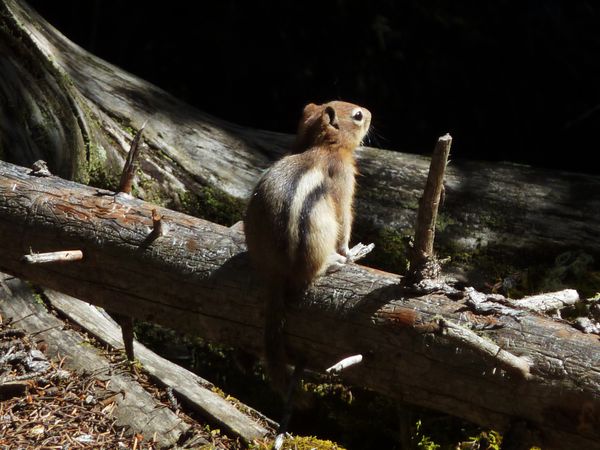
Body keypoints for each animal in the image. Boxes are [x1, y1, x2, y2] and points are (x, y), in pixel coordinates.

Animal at [244, 101, 370, 398]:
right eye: (358, 115)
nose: (371, 114)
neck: (318, 145)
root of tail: (275, 271)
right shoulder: (344, 180)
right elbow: (345, 220)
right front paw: (351, 252)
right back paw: (334, 262)